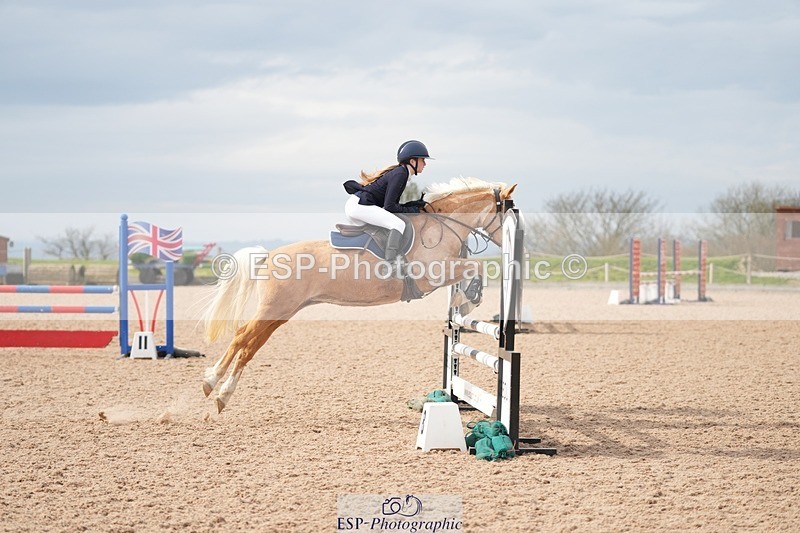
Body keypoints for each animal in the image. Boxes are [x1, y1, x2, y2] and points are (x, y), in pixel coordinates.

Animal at [202, 177, 518, 412]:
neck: (443, 225)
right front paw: (468, 299)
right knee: (242, 338)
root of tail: (268, 255)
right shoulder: (434, 275)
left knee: (248, 343)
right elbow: (476, 267)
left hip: (282, 312)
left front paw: (464, 301)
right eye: (507, 212)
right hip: (274, 308)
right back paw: (214, 385)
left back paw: (218, 389)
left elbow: (473, 270)